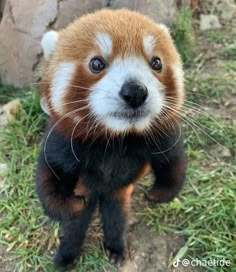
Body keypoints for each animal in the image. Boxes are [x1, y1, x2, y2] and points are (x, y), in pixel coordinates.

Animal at [36, 9, 186, 270]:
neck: (117, 137)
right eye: (97, 63)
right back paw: (66, 256)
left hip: (119, 193)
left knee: (116, 218)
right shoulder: (62, 140)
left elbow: (172, 161)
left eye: (156, 63)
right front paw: (68, 206)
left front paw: (160, 193)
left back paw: (116, 248)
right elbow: (50, 176)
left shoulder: (162, 135)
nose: (135, 91)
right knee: (75, 228)